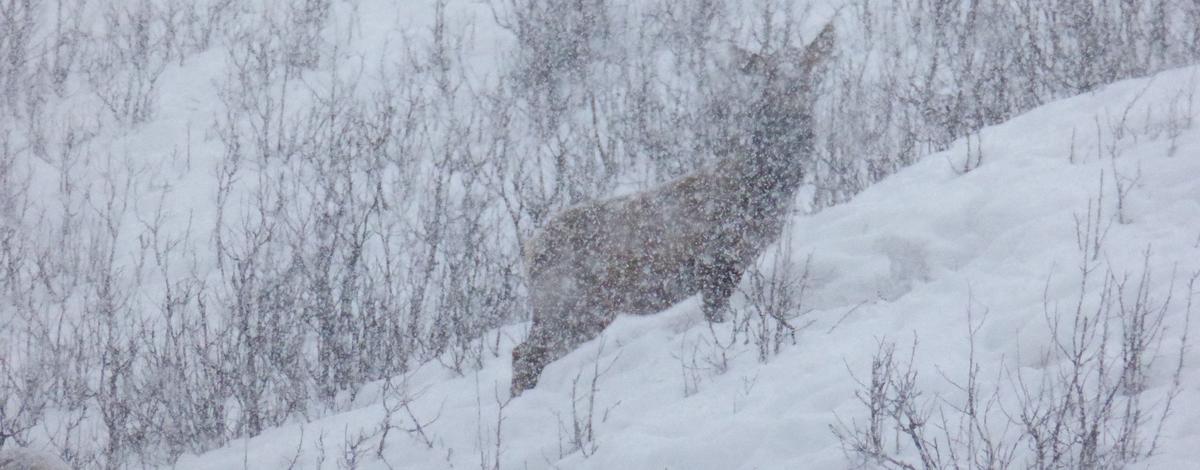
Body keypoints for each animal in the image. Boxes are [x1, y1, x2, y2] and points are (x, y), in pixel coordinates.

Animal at [511, 23, 840, 395]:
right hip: (572, 303)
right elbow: (716, 315)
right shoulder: (716, 259)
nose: (792, 113)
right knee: (525, 355)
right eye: (768, 77)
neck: (755, 192)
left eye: (807, 74)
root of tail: (529, 252)